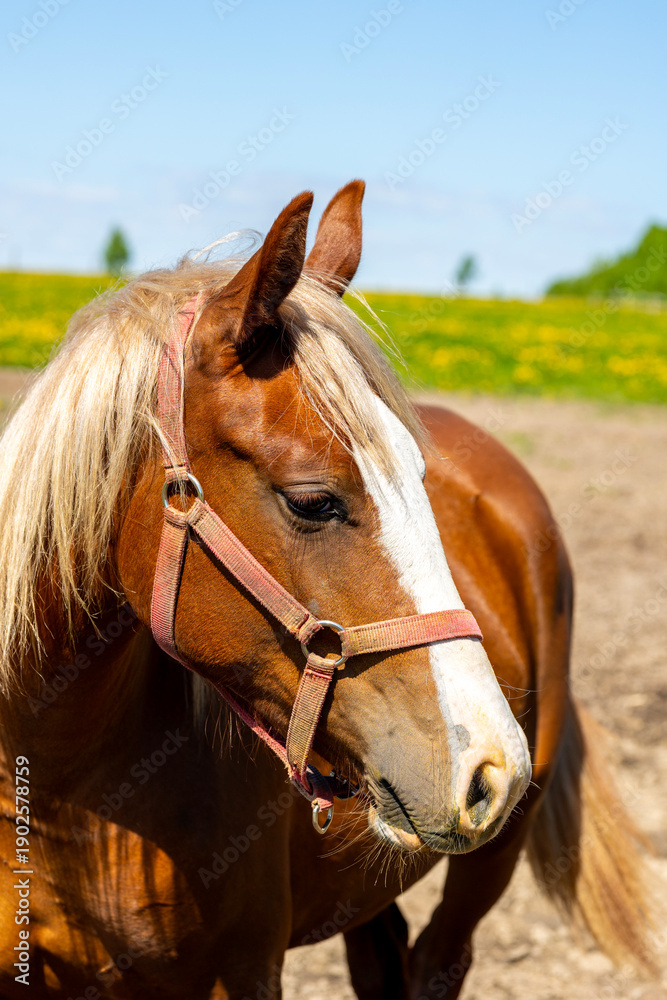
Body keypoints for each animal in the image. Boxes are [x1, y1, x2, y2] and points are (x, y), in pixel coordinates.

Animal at [0, 182, 653, 999]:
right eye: (313, 502)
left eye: (421, 480)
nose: (490, 765)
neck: (69, 793)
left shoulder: (245, 969)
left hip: (490, 863)